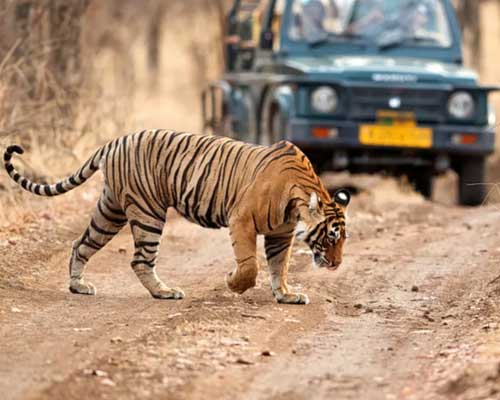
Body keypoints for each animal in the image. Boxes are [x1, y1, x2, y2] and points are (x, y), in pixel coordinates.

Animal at [1, 130, 350, 304]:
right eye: (331, 236)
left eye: (343, 239)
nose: (336, 264)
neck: (298, 199)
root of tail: (114, 141)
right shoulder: (241, 220)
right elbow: (250, 265)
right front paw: (233, 283)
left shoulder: (281, 234)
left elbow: (280, 266)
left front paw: (286, 295)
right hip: (147, 212)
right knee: (140, 260)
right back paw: (164, 292)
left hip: (110, 211)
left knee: (81, 244)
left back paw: (78, 286)